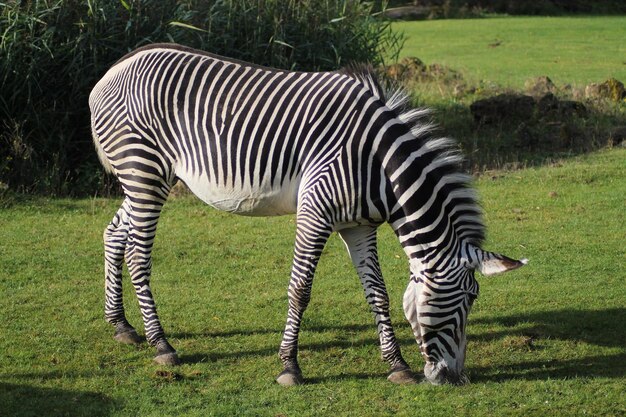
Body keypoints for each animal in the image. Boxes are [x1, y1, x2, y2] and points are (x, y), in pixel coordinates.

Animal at [89, 44, 528, 386]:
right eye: (467, 300)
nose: (454, 378)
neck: (379, 166)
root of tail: (113, 69)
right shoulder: (314, 212)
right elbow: (300, 288)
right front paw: (289, 366)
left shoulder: (359, 225)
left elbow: (378, 292)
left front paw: (397, 365)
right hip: (144, 172)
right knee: (138, 255)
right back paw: (161, 344)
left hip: (145, 179)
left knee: (114, 233)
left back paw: (121, 326)